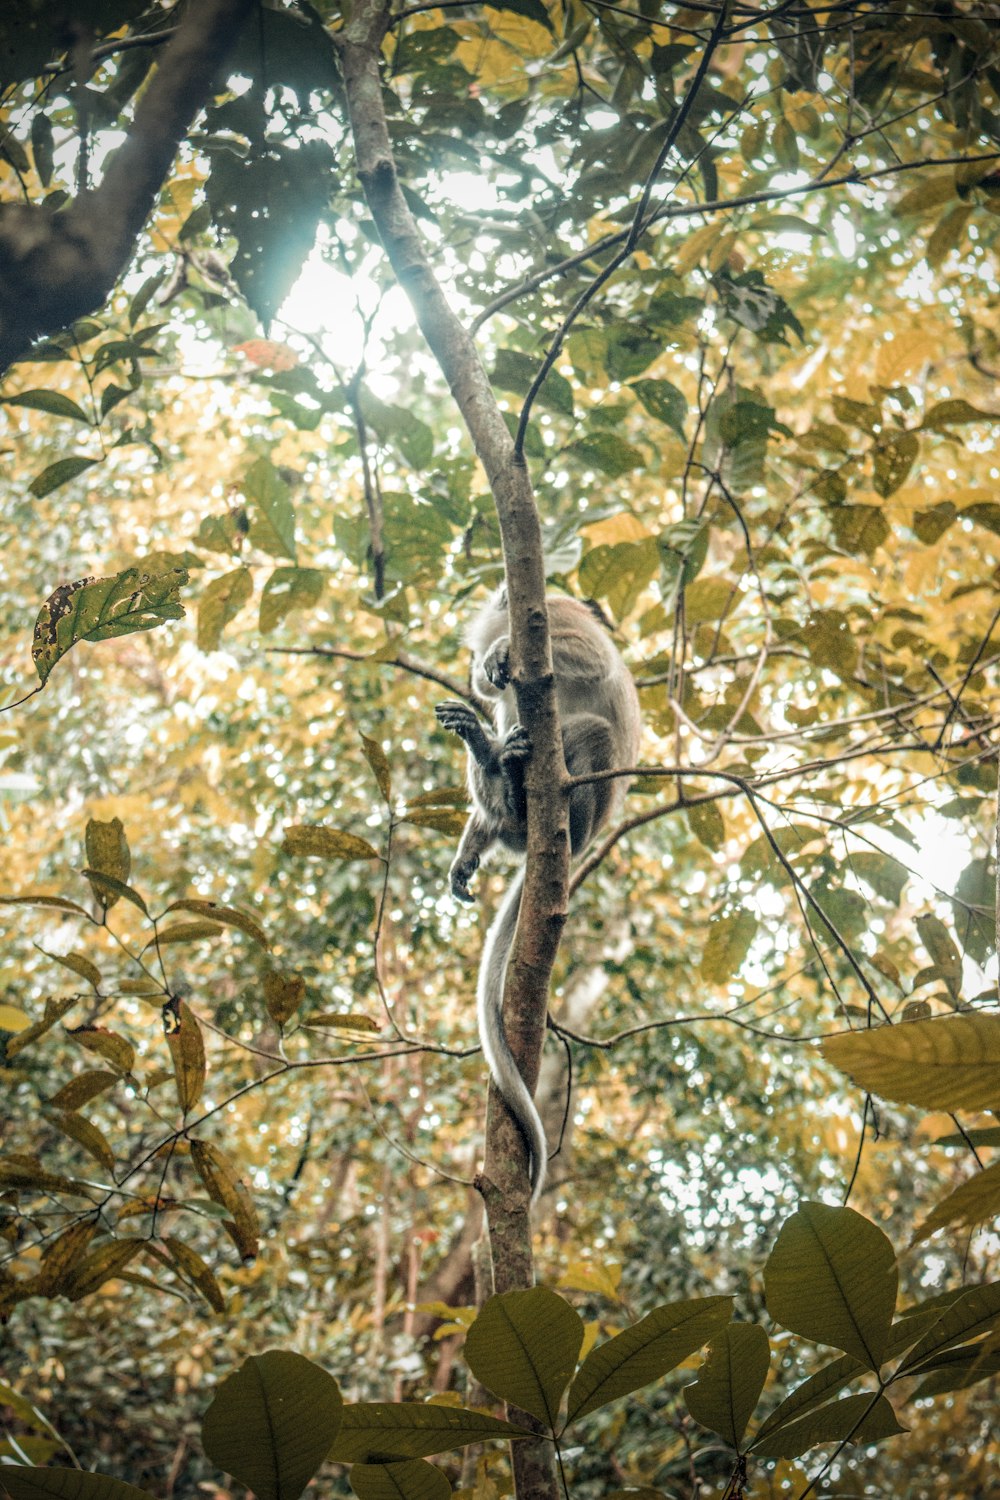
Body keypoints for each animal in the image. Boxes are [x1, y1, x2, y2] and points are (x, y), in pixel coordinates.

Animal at [431, 585, 638, 1206]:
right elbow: (493, 692)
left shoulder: (558, 617)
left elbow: (593, 660)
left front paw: (501, 649)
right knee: (508, 728)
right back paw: (494, 767)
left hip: (587, 801)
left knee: (592, 732)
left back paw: (514, 776)